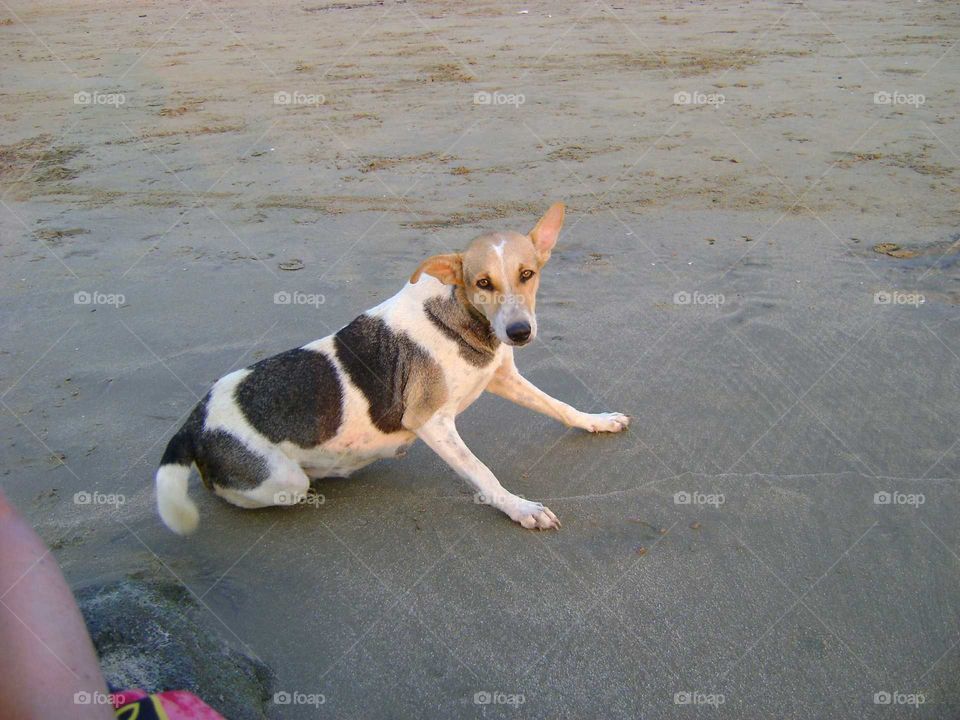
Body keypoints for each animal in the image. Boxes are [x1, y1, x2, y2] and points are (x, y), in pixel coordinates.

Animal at [157, 202, 632, 536]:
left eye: (528, 274)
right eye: (482, 283)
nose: (519, 332)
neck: (462, 319)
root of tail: (194, 421)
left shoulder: (504, 378)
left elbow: (559, 406)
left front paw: (596, 421)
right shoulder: (430, 421)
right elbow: (483, 472)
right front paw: (520, 509)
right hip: (281, 480)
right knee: (237, 493)